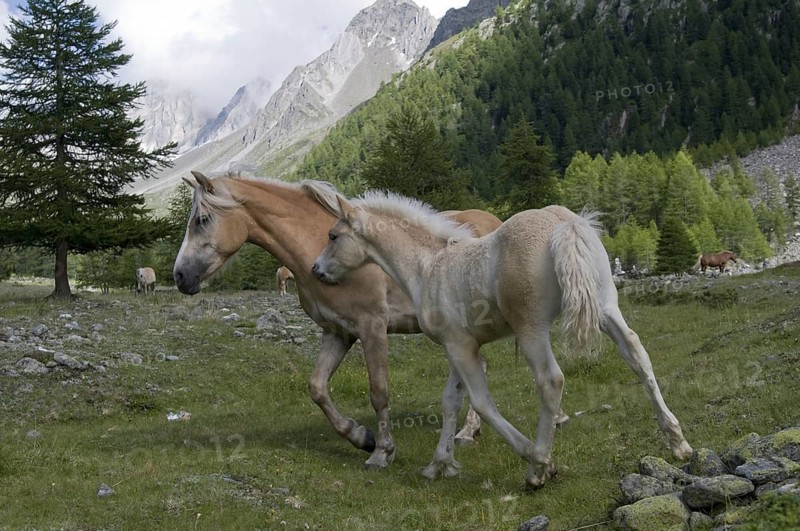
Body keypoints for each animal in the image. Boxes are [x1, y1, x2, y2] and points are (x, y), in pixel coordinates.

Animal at [172, 171, 503, 469]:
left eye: (202, 220)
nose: (180, 276)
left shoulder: (372, 328)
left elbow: (379, 392)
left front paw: (382, 452)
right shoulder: (337, 332)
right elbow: (317, 387)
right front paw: (360, 437)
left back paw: (466, 432)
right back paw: (469, 431)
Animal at [312, 192, 693, 489]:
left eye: (333, 235)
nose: (317, 271)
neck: (429, 267)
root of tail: (563, 224)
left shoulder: (460, 347)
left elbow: (480, 402)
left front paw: (540, 462)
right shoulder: (459, 345)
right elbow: (450, 401)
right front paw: (438, 465)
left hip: (531, 328)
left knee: (551, 380)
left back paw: (536, 470)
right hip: (605, 307)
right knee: (637, 354)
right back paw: (678, 442)